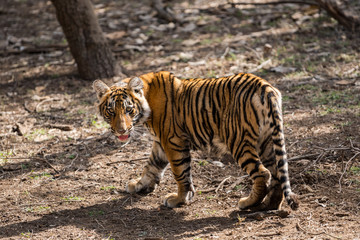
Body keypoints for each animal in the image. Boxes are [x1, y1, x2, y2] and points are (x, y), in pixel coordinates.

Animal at [92, 71, 298, 210]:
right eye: (111, 111)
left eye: (129, 110)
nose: (121, 130)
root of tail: (265, 86)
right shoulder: (160, 143)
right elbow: (151, 165)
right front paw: (139, 185)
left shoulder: (172, 141)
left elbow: (180, 172)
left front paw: (179, 199)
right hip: (267, 141)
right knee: (277, 173)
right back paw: (270, 205)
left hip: (238, 141)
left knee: (262, 173)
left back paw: (247, 203)